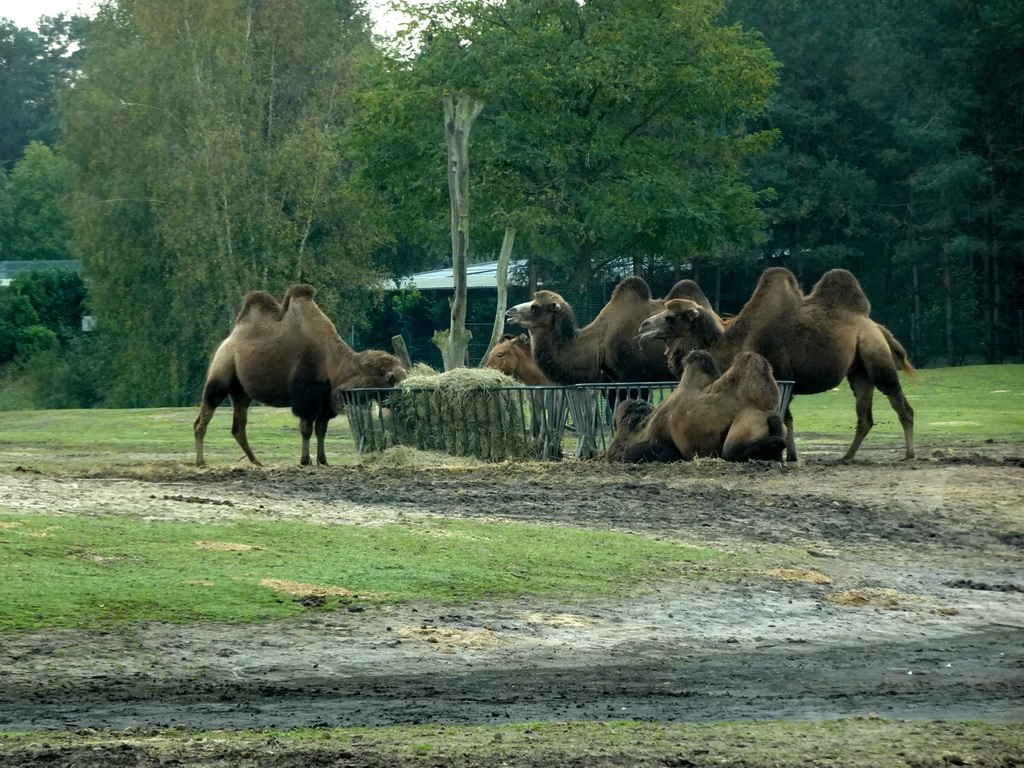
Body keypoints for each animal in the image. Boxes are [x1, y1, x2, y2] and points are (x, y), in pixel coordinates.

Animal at [602, 352, 786, 466]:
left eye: (625, 424)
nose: (610, 453)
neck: (643, 427)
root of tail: (768, 412)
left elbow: (635, 452)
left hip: (746, 421)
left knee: (732, 451)